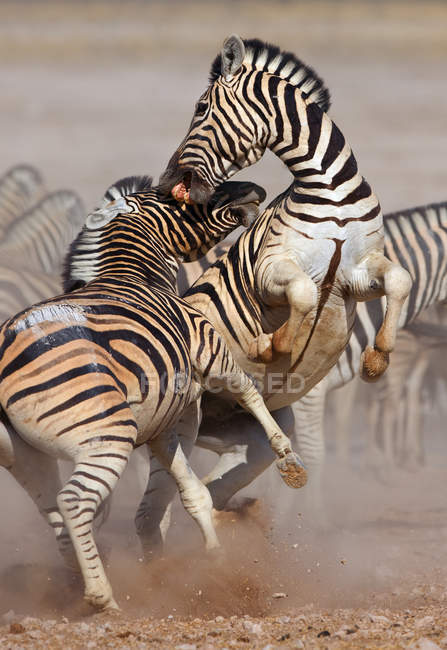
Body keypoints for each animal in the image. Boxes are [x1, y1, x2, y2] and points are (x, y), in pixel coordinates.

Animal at [0, 173, 306, 608]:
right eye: (179, 197)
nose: (255, 190)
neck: (134, 273)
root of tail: (12, 353)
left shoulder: (164, 424)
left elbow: (193, 493)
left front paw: (215, 561)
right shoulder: (208, 348)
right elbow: (248, 392)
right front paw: (287, 456)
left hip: (21, 452)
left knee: (54, 512)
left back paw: (80, 580)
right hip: (106, 436)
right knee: (73, 502)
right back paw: (103, 599)